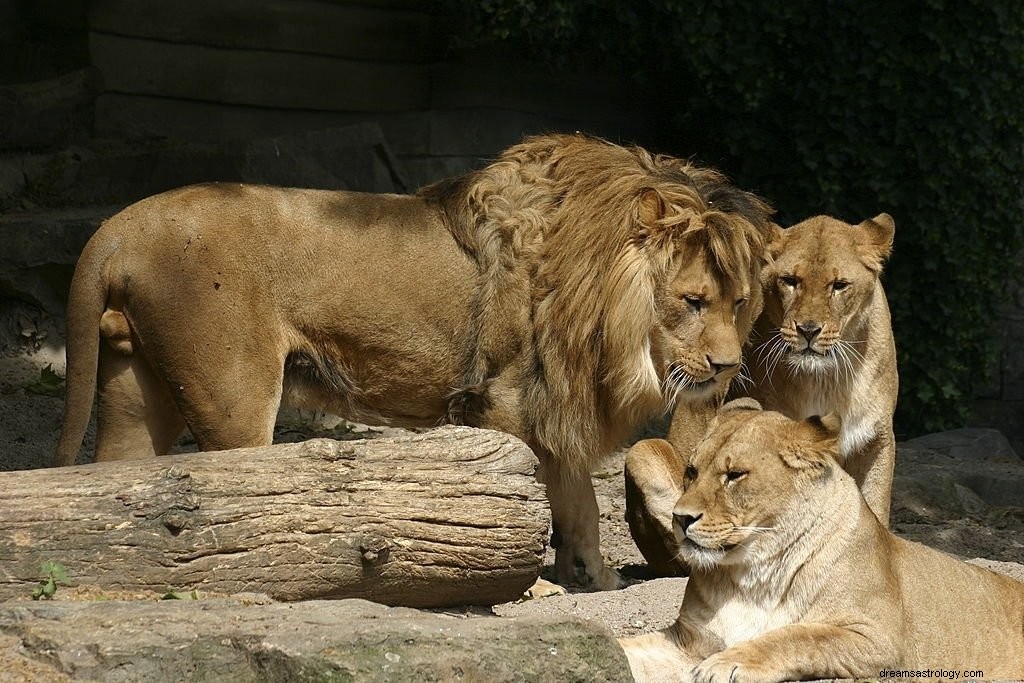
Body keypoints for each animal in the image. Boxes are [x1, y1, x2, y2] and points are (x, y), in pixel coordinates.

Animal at [56, 135, 770, 593]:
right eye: (692, 300)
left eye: (740, 301)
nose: (727, 365)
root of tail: (117, 228)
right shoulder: (514, 398)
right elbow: (546, 499)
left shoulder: (553, 403)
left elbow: (577, 505)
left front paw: (590, 578)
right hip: (236, 397)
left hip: (136, 391)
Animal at [614, 401, 1024, 683]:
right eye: (691, 471)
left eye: (734, 475)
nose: (680, 518)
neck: (753, 574)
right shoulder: (687, 641)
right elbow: (627, 650)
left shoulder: (881, 641)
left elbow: (800, 636)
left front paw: (729, 663)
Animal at [622, 215, 897, 577]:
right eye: (790, 281)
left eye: (839, 285)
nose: (808, 330)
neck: (827, 378)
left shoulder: (877, 438)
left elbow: (875, 504)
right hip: (643, 451)